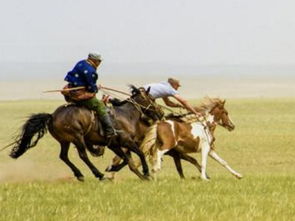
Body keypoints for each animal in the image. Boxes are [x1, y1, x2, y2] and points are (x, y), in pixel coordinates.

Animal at [9, 85, 163, 180]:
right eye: (152, 99)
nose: (160, 113)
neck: (126, 115)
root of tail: (52, 116)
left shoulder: (113, 145)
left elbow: (127, 160)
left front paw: (137, 175)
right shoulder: (126, 141)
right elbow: (139, 154)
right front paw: (146, 172)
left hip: (65, 141)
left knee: (63, 156)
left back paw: (80, 174)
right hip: (77, 138)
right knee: (83, 155)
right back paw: (99, 175)